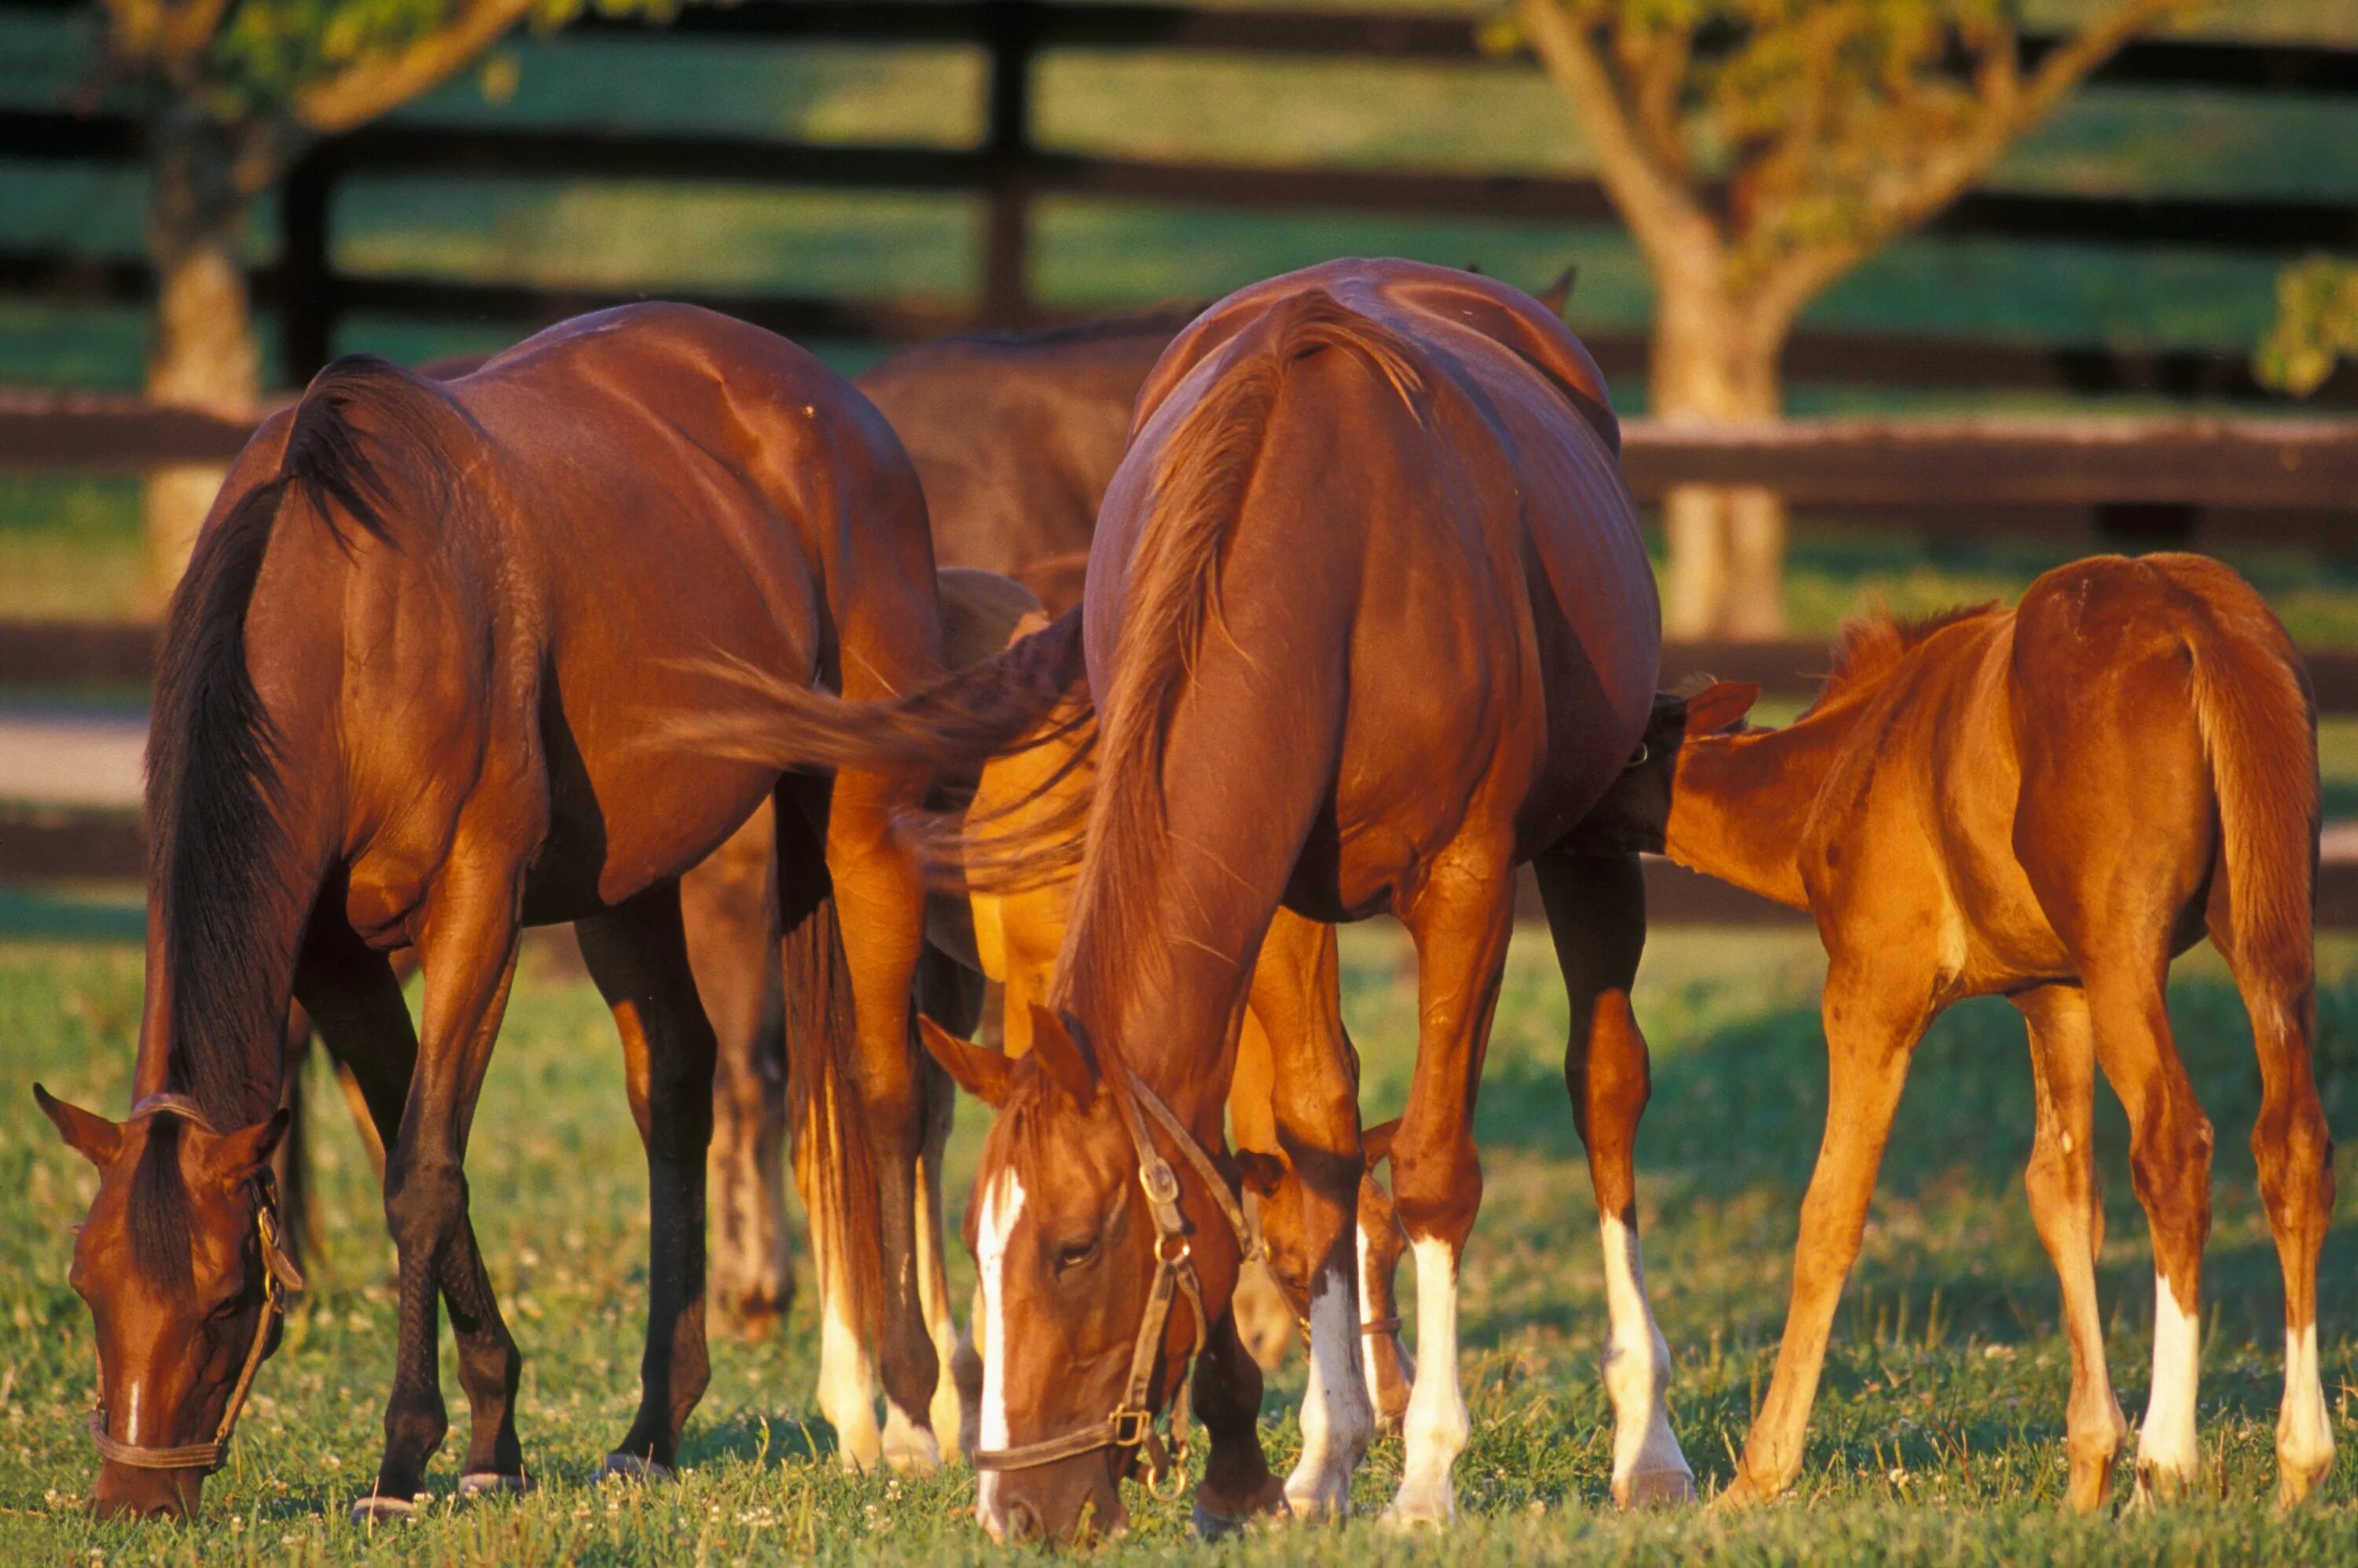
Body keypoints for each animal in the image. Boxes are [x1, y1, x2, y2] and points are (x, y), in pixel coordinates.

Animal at [23, 302, 1061, 1518]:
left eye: (230, 1297)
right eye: (87, 1286)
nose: (130, 1502)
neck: (351, 615)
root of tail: (837, 404)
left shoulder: (476, 905)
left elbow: (422, 1174)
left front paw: (406, 1458)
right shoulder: (337, 957)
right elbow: (420, 1150)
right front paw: (492, 1441)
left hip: (861, 816)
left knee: (885, 1089)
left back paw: (906, 1413)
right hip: (631, 881)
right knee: (679, 1086)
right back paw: (654, 1428)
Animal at [901, 259, 1679, 1537]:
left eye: (1074, 1247)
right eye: (976, 1244)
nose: (1012, 1511)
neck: (1334, 559)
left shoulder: (1464, 881)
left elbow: (1431, 1169)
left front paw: (1426, 1470)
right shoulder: (1274, 899)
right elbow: (1313, 1151)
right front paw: (1319, 1460)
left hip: (1588, 833)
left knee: (1605, 1092)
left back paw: (1650, 1441)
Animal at [1585, 554, 2339, 1518]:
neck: (1848, 760)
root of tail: (2194, 620)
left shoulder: (1873, 988)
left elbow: (1831, 1209)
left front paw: (1758, 1474)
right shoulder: (2054, 993)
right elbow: (2061, 1191)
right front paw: (2086, 1474)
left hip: (2125, 952)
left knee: (2174, 1145)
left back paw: (2165, 1468)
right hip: (2264, 933)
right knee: (2293, 1141)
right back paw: (2299, 1465)